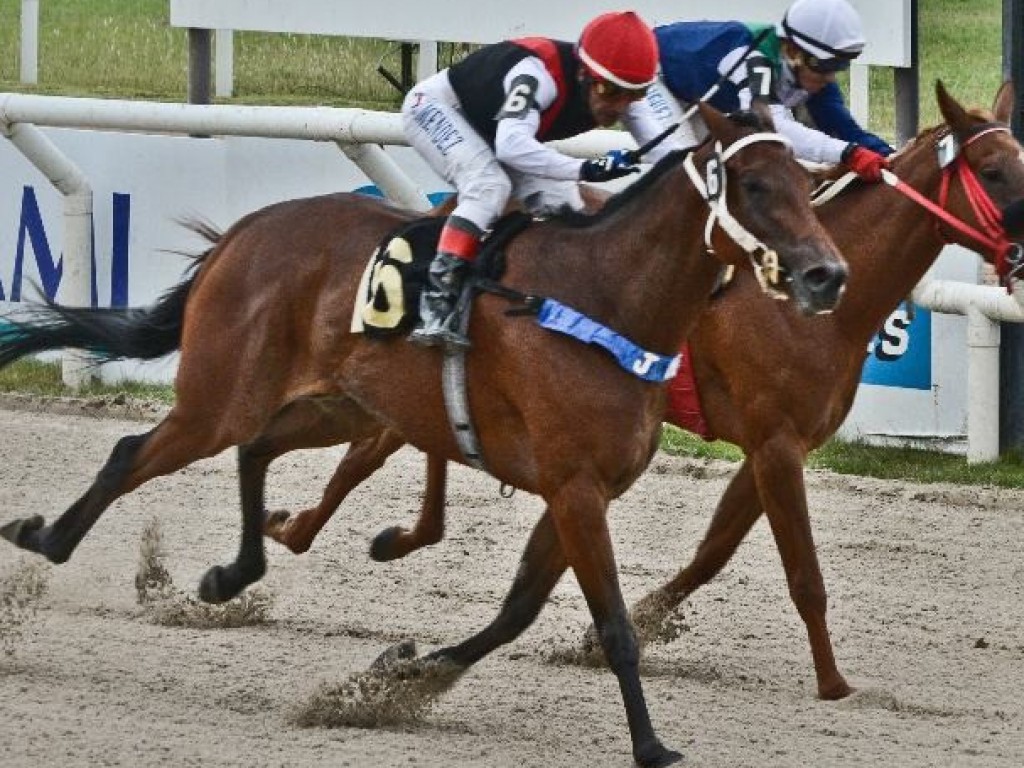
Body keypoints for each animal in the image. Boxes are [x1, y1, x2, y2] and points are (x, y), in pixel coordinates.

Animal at [0, 103, 843, 768]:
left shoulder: (580, 491)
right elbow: (612, 627)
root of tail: (247, 229)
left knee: (256, 448)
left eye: (809, 185)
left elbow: (516, 612)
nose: (827, 275)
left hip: (341, 405)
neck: (604, 301)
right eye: (756, 186)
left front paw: (397, 676)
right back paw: (46, 539)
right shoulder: (574, 488)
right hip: (222, 394)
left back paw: (230, 574)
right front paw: (651, 745)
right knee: (135, 453)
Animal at [262, 82, 1024, 704]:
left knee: (390, 443)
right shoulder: (776, 443)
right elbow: (804, 573)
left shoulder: (777, 446)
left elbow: (713, 551)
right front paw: (835, 682)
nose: (1020, 252)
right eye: (993, 171)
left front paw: (638, 623)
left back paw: (349, 531)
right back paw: (301, 531)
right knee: (363, 451)